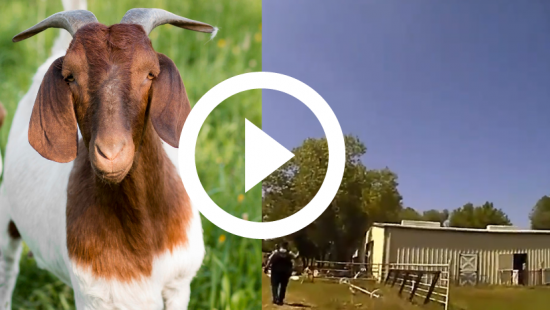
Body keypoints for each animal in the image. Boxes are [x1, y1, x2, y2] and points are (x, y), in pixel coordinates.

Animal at [1, 6, 219, 308]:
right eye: (70, 76)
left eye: (150, 73)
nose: (111, 153)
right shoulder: (93, 296)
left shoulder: (179, 285)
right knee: (7, 270)